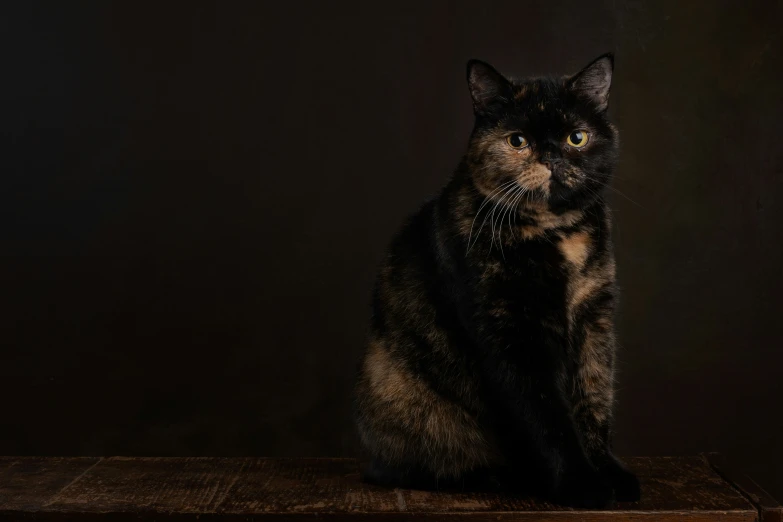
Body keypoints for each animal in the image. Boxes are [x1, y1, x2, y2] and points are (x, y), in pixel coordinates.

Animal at [352, 54, 640, 506]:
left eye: (577, 137)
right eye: (517, 141)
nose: (552, 156)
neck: (555, 231)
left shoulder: (594, 319)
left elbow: (593, 400)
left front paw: (610, 474)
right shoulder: (511, 332)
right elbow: (547, 416)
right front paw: (582, 485)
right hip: (400, 395)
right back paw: (504, 477)